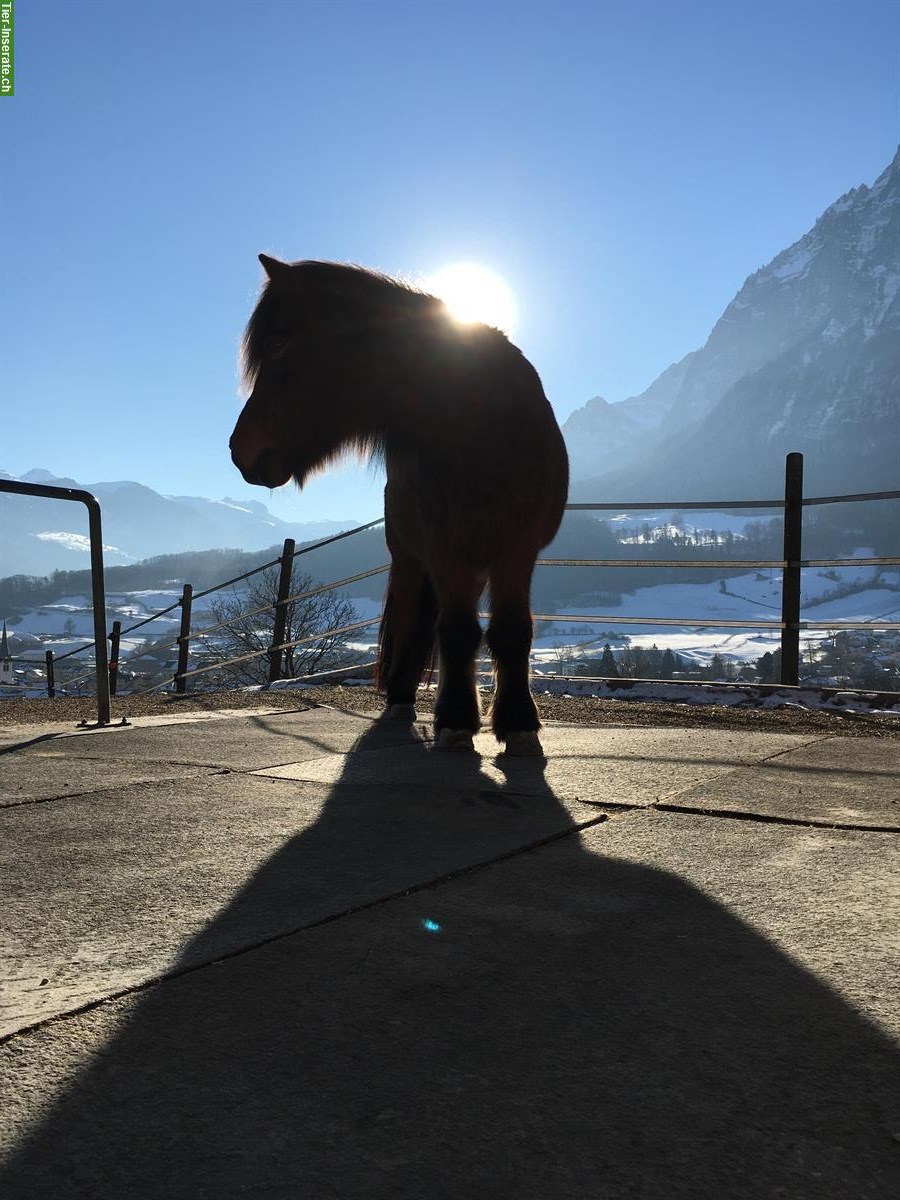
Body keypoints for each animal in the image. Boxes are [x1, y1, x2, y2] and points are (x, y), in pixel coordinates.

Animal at [232, 258, 571, 753]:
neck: (484, 431)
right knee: (416, 620)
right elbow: (457, 630)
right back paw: (400, 699)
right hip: (413, 559)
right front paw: (456, 719)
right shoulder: (447, 550)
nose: (240, 450)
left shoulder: (517, 549)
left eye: (279, 344)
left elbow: (511, 632)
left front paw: (518, 723)